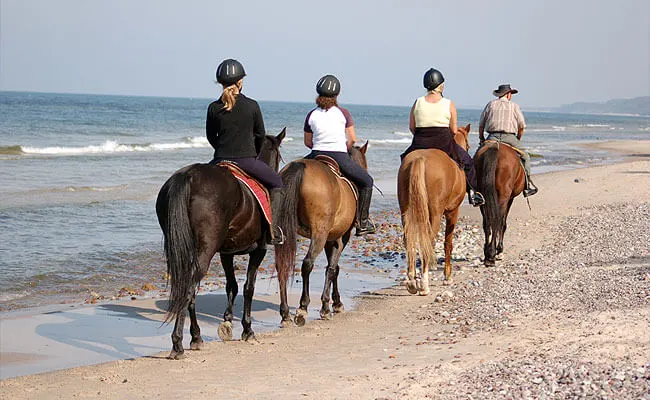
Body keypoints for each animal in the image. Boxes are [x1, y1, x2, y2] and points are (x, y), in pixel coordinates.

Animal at [154, 129, 284, 360]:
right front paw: (247, 329)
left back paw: (196, 337)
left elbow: (231, 285)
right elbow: (248, 287)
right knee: (189, 289)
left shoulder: (226, 253)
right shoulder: (259, 250)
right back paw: (178, 344)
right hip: (207, 250)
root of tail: (189, 176)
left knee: (188, 288)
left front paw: (227, 322)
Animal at [270, 142, 368, 326]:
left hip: (283, 231)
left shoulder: (331, 239)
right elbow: (332, 268)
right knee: (307, 264)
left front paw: (335, 302)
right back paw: (302, 308)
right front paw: (329, 306)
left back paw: (285, 313)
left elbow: (334, 267)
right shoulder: (340, 237)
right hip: (319, 234)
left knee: (282, 266)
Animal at [394, 123, 470, 296]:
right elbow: (448, 243)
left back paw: (412, 281)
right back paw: (424, 285)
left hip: (405, 211)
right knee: (427, 240)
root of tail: (420, 159)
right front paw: (447, 277)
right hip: (435, 213)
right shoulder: (453, 212)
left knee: (409, 239)